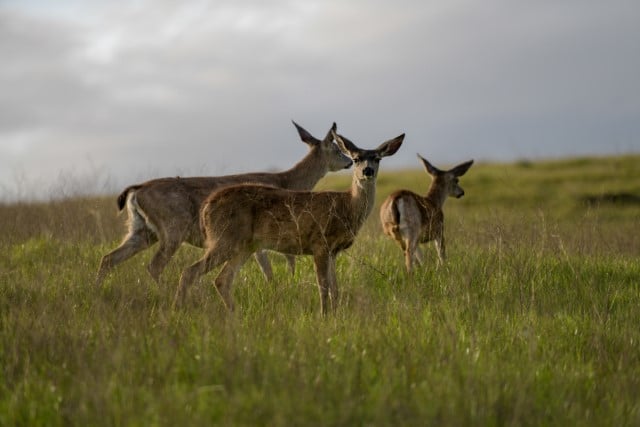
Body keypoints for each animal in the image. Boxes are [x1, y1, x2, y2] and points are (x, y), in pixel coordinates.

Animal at [96, 120, 350, 288]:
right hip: (173, 227)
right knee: (154, 265)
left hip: (143, 230)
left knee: (109, 258)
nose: (350, 161)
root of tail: (136, 189)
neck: (287, 181)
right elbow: (272, 266)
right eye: (337, 148)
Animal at [174, 128, 404, 314]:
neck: (347, 206)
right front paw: (324, 316)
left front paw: (336, 316)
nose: (367, 171)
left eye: (378, 159)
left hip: (244, 246)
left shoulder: (334, 251)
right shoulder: (320, 244)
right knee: (189, 272)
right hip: (225, 239)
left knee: (222, 280)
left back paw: (234, 315)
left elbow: (336, 289)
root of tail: (206, 207)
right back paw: (179, 310)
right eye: (355, 158)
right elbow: (323, 286)